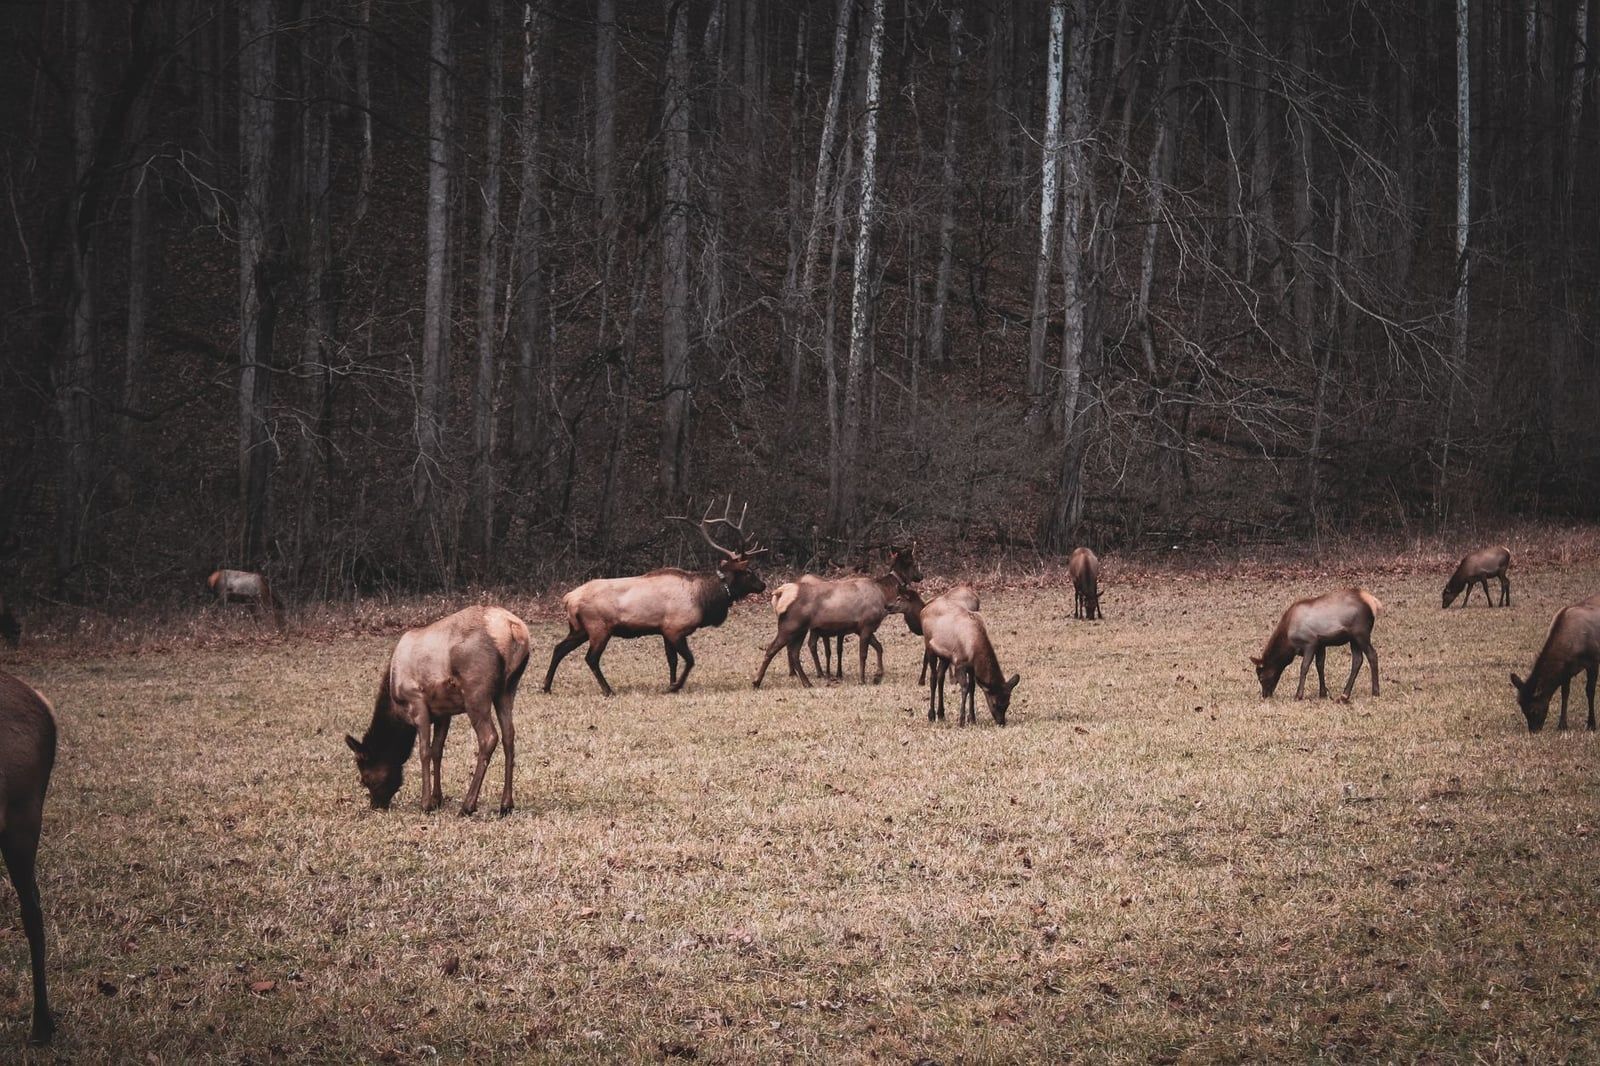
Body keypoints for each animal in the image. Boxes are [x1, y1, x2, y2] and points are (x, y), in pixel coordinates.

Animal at [345, 605, 530, 816]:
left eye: (365, 778)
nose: (376, 805)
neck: (397, 709)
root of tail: (514, 629)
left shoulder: (417, 702)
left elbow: (424, 752)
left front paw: (425, 803)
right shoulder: (443, 712)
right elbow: (437, 750)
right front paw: (437, 798)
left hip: (476, 692)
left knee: (489, 737)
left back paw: (468, 805)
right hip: (507, 690)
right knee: (509, 735)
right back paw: (506, 804)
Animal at [544, 499, 767, 696]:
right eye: (749, 572)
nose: (763, 585)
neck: (703, 600)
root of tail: (568, 598)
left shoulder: (664, 630)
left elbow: (672, 661)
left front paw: (671, 684)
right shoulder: (675, 629)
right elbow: (690, 660)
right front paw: (675, 686)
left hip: (579, 629)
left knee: (559, 648)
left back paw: (546, 687)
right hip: (599, 627)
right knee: (590, 658)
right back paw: (608, 690)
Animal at [752, 544, 923, 688]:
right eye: (914, 563)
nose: (920, 576)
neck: (883, 594)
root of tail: (779, 593)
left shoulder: (861, 628)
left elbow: (879, 647)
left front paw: (877, 676)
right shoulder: (866, 624)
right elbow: (863, 654)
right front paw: (863, 679)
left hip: (801, 629)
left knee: (794, 653)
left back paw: (807, 682)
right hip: (790, 626)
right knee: (771, 650)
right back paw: (757, 682)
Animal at [1252, 588, 1382, 701]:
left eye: (1261, 677)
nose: (1265, 695)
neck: (1289, 643)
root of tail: (1373, 602)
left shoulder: (1310, 642)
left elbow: (1304, 667)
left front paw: (1298, 695)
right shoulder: (1321, 645)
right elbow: (1320, 666)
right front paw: (1322, 693)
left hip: (1361, 634)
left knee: (1372, 655)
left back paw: (1375, 692)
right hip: (1353, 639)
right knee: (1357, 660)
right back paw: (1345, 695)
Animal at [1509, 597, 1600, 732]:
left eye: (1534, 710)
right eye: (1522, 709)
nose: (1533, 730)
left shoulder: (1593, 661)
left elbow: (1590, 691)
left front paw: (1591, 724)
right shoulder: (1567, 669)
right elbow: (1565, 693)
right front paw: (1562, 725)